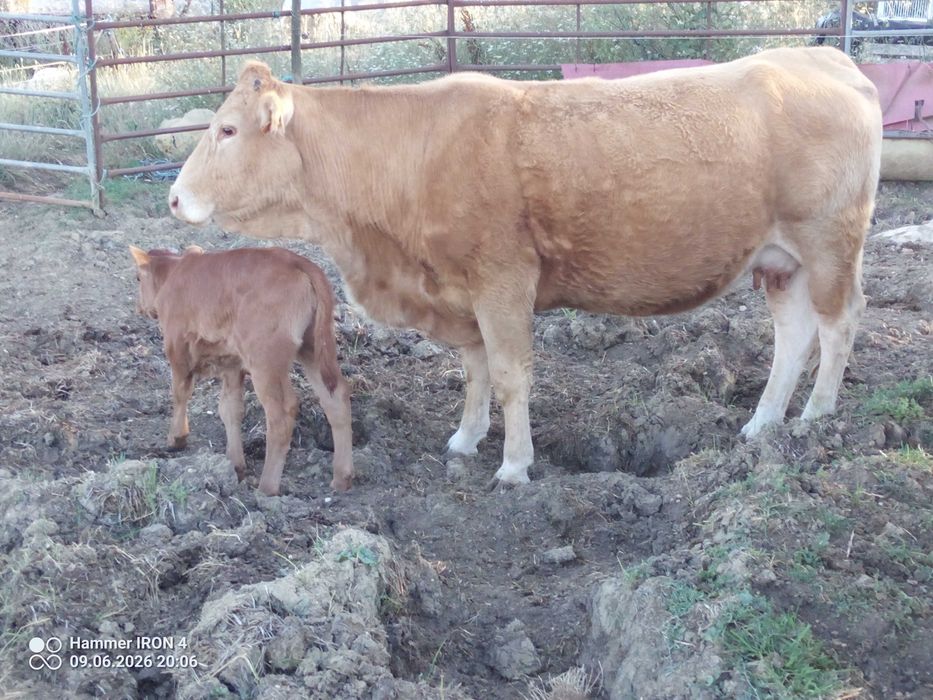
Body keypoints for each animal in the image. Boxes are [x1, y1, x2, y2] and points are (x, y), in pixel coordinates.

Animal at [129, 245, 353, 495]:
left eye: (138, 277)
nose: (140, 308)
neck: (174, 272)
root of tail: (298, 262)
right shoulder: (232, 364)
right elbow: (230, 409)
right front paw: (234, 464)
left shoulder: (177, 348)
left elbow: (180, 393)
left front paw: (176, 438)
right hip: (313, 349)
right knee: (335, 398)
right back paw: (342, 478)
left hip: (265, 362)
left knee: (282, 413)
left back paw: (266, 488)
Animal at [169, 46, 882, 487]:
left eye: (227, 130)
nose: (174, 198)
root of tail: (823, 59)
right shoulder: (459, 291)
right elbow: (475, 368)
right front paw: (466, 438)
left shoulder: (503, 281)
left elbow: (511, 373)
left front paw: (514, 465)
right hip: (780, 262)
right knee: (793, 335)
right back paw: (763, 425)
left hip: (829, 244)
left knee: (839, 323)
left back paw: (816, 417)